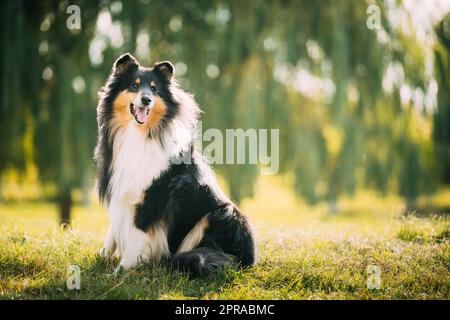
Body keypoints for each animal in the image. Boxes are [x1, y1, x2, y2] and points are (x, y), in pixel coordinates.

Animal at [94, 53, 256, 276]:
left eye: (154, 89)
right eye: (134, 85)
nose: (146, 100)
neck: (140, 135)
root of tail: (248, 260)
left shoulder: (150, 201)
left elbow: (135, 240)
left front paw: (119, 273)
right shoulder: (122, 192)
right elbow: (111, 234)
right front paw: (100, 260)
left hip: (221, 213)